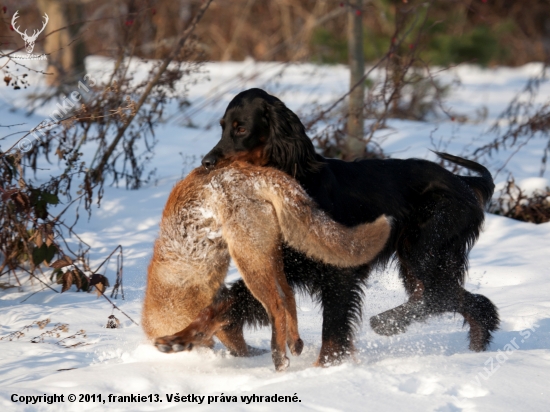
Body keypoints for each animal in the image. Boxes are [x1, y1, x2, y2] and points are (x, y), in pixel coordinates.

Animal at [142, 162, 392, 370]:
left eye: (226, 331)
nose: (247, 352)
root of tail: (250, 171)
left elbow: (210, 315)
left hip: (249, 261)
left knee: (278, 305)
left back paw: (278, 357)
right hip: (270, 257)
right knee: (288, 295)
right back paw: (293, 342)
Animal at [201, 88, 502, 366]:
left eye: (241, 128)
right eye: (222, 126)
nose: (206, 163)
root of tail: (464, 183)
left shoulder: (339, 271)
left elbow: (333, 329)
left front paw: (326, 368)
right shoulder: (288, 264)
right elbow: (237, 298)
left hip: (424, 249)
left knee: (439, 296)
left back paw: (387, 322)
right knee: (468, 302)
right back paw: (474, 349)